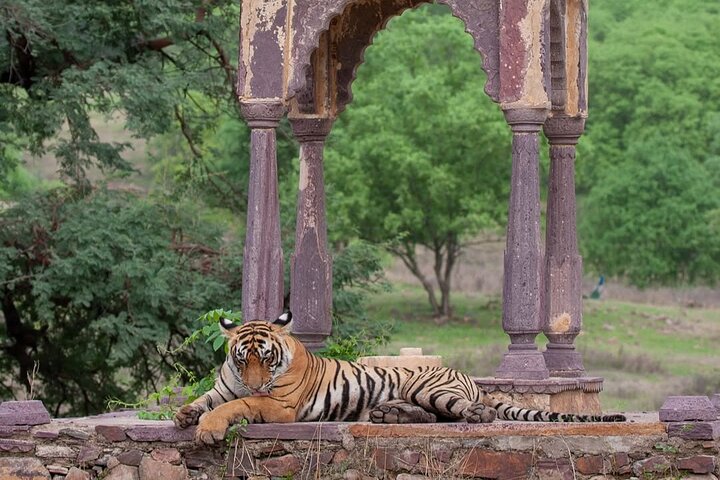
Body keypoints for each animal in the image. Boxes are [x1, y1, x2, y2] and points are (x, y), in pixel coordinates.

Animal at [174, 312, 625, 445]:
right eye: (242, 359)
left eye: (267, 360)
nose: (255, 381)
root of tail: (468, 376)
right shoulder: (224, 385)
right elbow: (208, 399)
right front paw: (184, 415)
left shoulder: (278, 404)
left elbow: (238, 405)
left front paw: (208, 430)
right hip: (418, 395)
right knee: (433, 417)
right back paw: (388, 416)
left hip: (427, 385)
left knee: (464, 412)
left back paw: (475, 415)